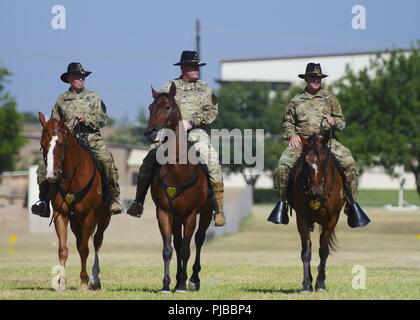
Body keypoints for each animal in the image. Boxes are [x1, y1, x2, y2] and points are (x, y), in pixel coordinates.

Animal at [38, 112, 110, 290]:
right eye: (43, 144)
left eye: (60, 143)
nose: (51, 176)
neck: (72, 176)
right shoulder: (61, 214)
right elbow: (63, 249)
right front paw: (61, 282)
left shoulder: (89, 215)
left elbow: (85, 249)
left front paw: (84, 282)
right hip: (76, 221)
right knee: (79, 242)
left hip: (103, 218)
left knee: (96, 242)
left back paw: (95, 279)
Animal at [144, 83, 213, 292]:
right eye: (150, 107)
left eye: (167, 107)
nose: (150, 132)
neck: (178, 169)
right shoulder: (164, 211)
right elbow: (168, 249)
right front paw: (167, 285)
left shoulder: (191, 214)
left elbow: (185, 250)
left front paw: (182, 284)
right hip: (176, 217)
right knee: (178, 240)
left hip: (205, 213)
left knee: (198, 239)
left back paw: (193, 279)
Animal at [290, 132, 346, 292]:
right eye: (306, 161)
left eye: (324, 160)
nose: (316, 191)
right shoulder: (302, 218)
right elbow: (306, 251)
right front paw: (306, 284)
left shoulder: (332, 219)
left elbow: (324, 251)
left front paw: (320, 283)